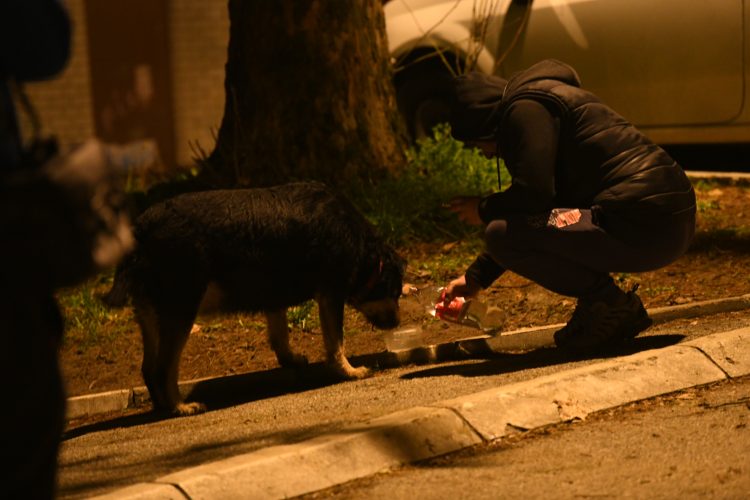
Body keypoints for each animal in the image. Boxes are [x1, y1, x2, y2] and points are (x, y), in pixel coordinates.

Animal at [107, 182, 406, 416]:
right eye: (395, 291)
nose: (397, 323)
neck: (364, 249)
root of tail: (139, 229)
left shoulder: (274, 295)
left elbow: (280, 335)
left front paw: (291, 359)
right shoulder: (331, 294)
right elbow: (336, 343)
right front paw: (351, 372)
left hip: (150, 313)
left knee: (148, 368)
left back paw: (162, 407)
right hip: (181, 309)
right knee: (162, 368)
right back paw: (180, 408)